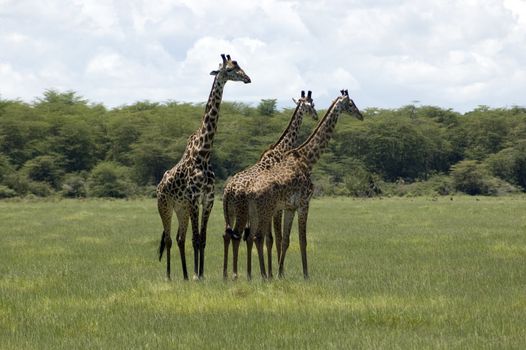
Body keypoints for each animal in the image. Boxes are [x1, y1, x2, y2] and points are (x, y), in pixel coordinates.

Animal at [157, 53, 252, 280]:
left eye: (239, 66)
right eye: (229, 69)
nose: (248, 79)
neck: (204, 153)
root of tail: (159, 185)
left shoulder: (207, 199)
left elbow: (203, 238)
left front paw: (199, 274)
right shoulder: (194, 199)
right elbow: (196, 238)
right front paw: (196, 275)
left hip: (180, 208)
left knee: (179, 238)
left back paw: (183, 275)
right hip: (164, 206)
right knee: (169, 239)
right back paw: (169, 276)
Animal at [222, 89, 318, 278]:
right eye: (311, 105)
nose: (316, 116)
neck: (280, 150)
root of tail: (227, 191)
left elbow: (268, 238)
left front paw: (270, 272)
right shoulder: (277, 207)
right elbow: (272, 238)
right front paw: (272, 273)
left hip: (231, 212)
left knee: (229, 235)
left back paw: (227, 274)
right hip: (242, 212)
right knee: (239, 235)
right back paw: (236, 274)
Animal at [246, 89, 364, 278]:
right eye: (351, 103)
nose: (361, 116)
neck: (307, 159)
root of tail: (248, 191)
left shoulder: (289, 207)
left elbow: (285, 240)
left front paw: (280, 273)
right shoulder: (303, 203)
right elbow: (301, 240)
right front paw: (305, 274)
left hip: (257, 212)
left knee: (251, 237)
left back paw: (254, 274)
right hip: (266, 211)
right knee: (258, 237)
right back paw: (263, 275)